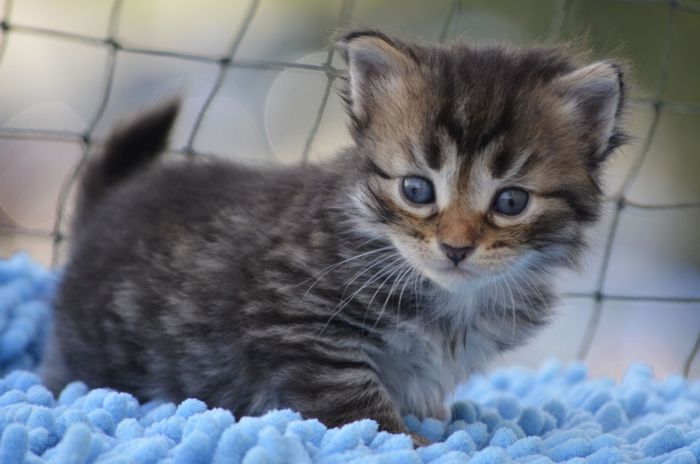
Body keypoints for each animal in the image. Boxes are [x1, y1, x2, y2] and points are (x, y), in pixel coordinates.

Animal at [41, 30, 626, 443]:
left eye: (510, 202)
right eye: (417, 189)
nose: (456, 248)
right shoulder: (296, 319)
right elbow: (353, 397)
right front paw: (407, 442)